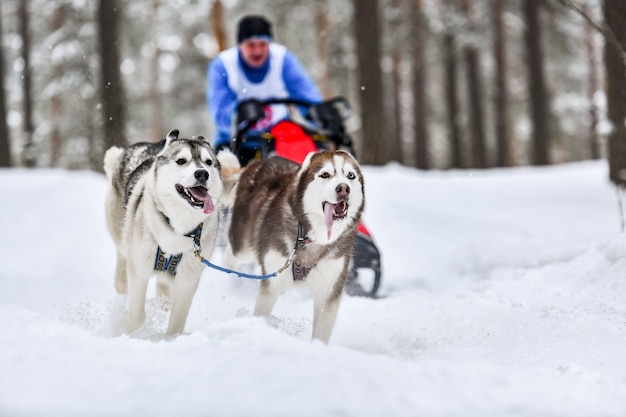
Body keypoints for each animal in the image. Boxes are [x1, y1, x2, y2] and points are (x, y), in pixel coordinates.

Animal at [105, 130, 224, 334]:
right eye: (181, 161)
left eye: (209, 162)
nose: (202, 173)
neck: (178, 227)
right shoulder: (139, 268)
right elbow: (136, 317)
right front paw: (129, 332)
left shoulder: (187, 280)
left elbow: (176, 325)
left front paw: (170, 338)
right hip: (122, 234)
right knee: (122, 260)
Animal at [219, 150, 366, 342]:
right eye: (325, 175)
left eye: (350, 176)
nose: (343, 188)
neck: (314, 238)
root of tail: (260, 162)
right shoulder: (271, 285)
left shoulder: (329, 291)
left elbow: (321, 333)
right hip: (242, 246)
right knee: (232, 255)